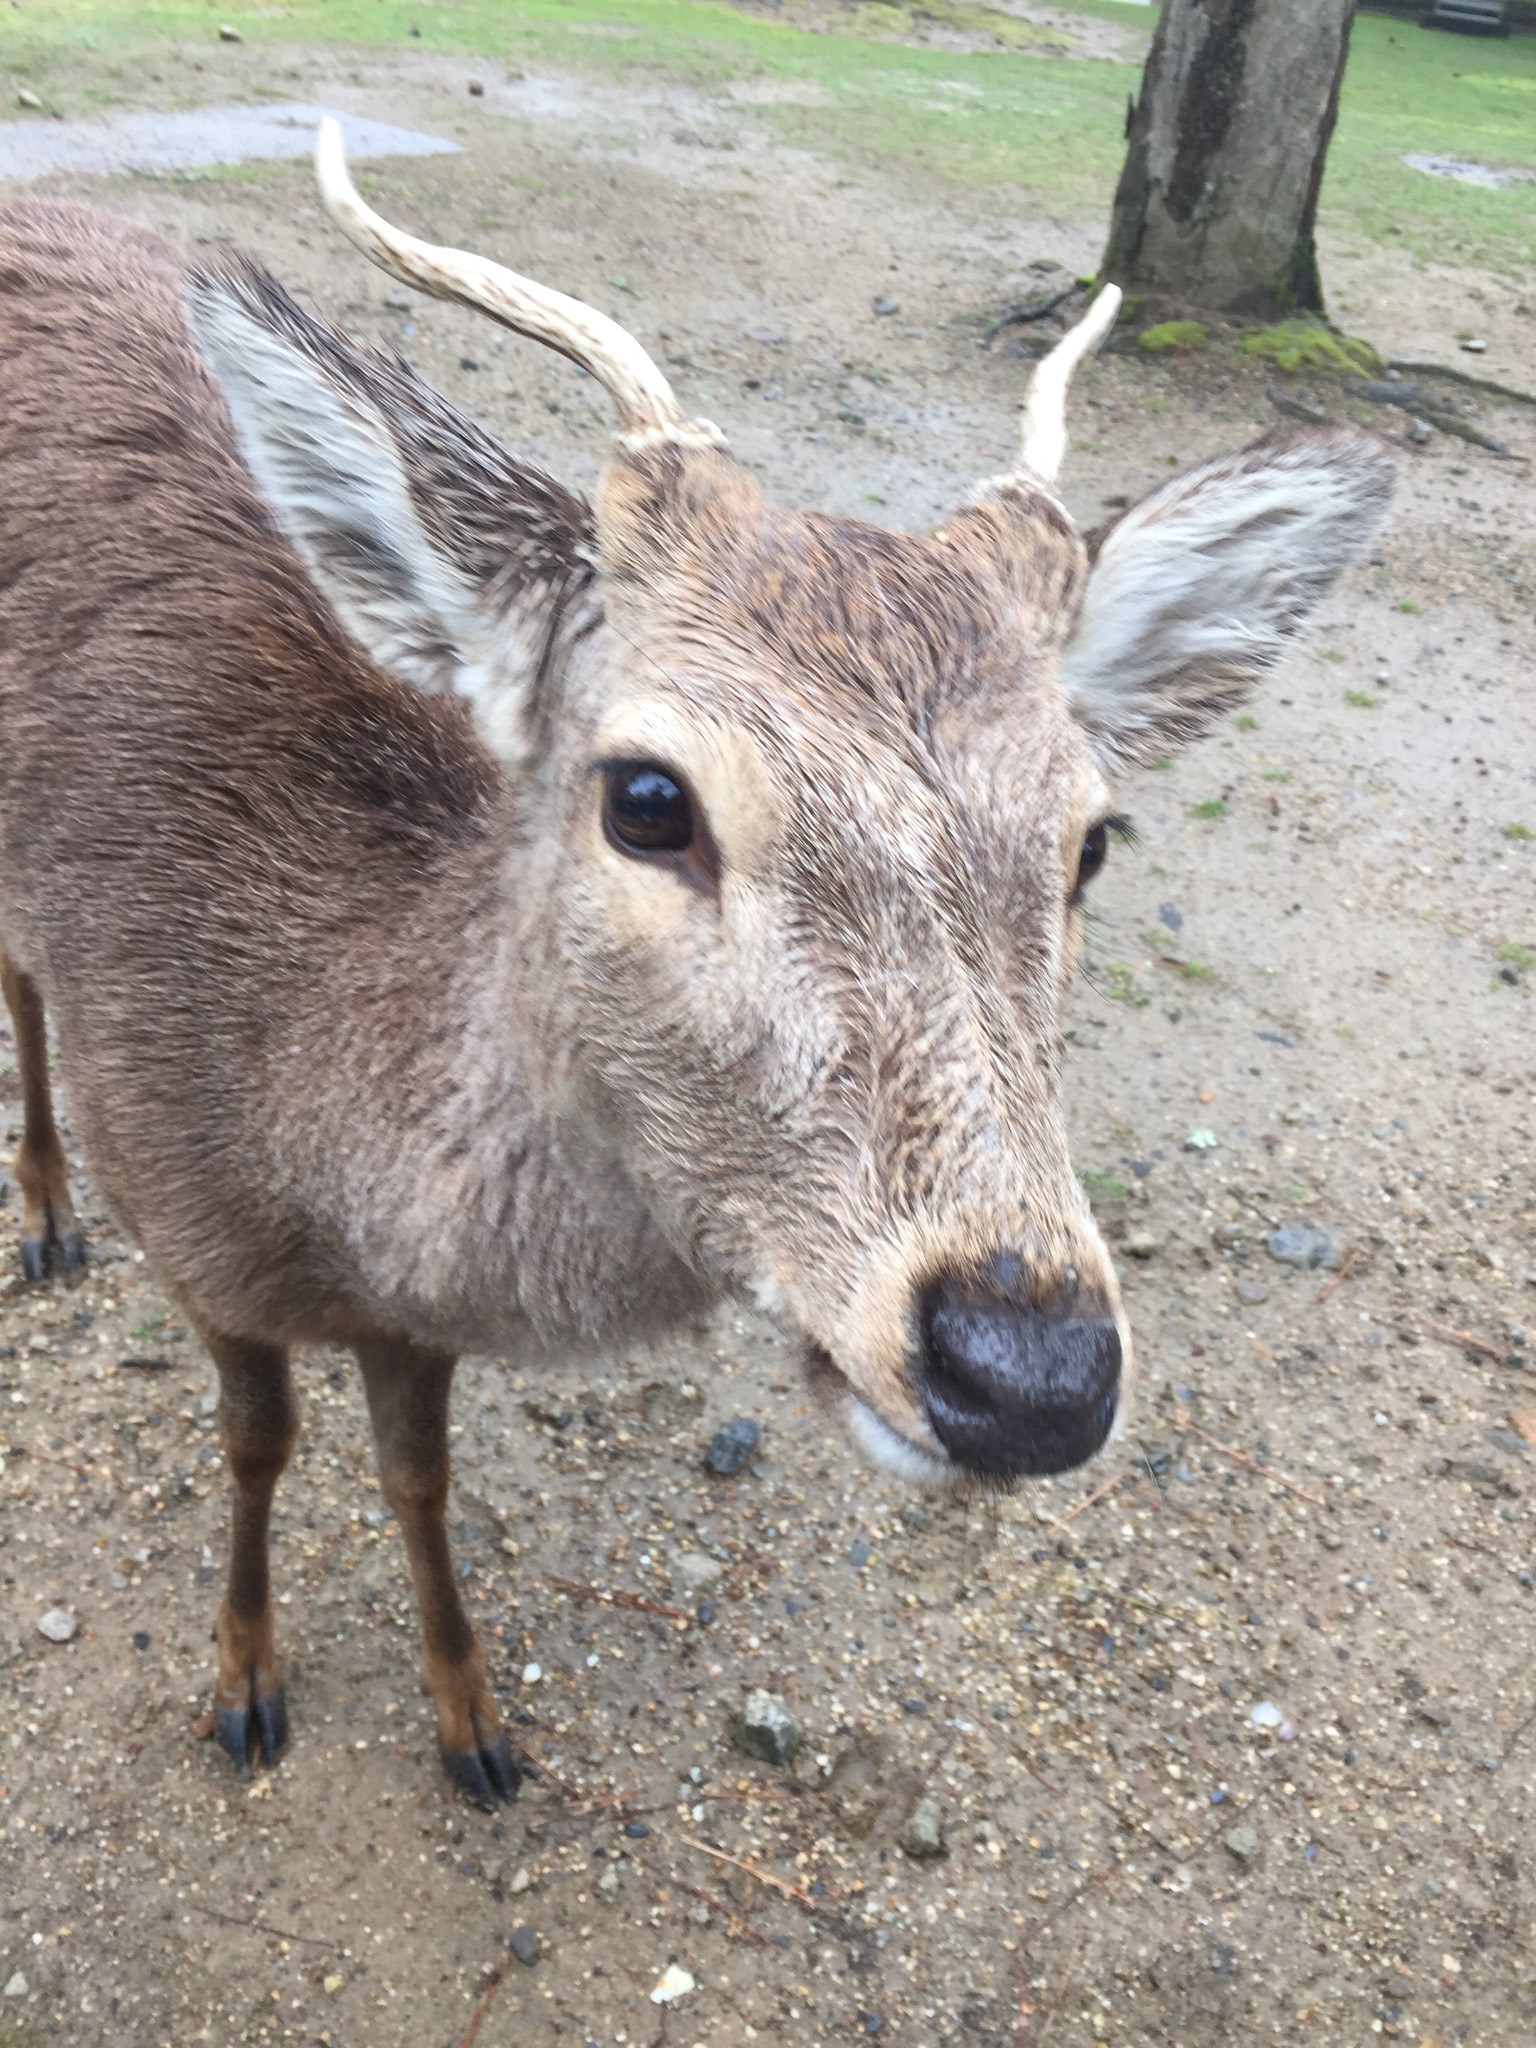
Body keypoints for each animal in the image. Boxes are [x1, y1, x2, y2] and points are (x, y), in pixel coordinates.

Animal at [0, 116, 1392, 1810]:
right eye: (649, 799)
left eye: (1095, 841)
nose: (1031, 1370)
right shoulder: (191, 1230)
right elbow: (257, 1448)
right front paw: (246, 1687)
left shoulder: (403, 1323)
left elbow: (417, 1474)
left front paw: (475, 1723)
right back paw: (46, 1218)